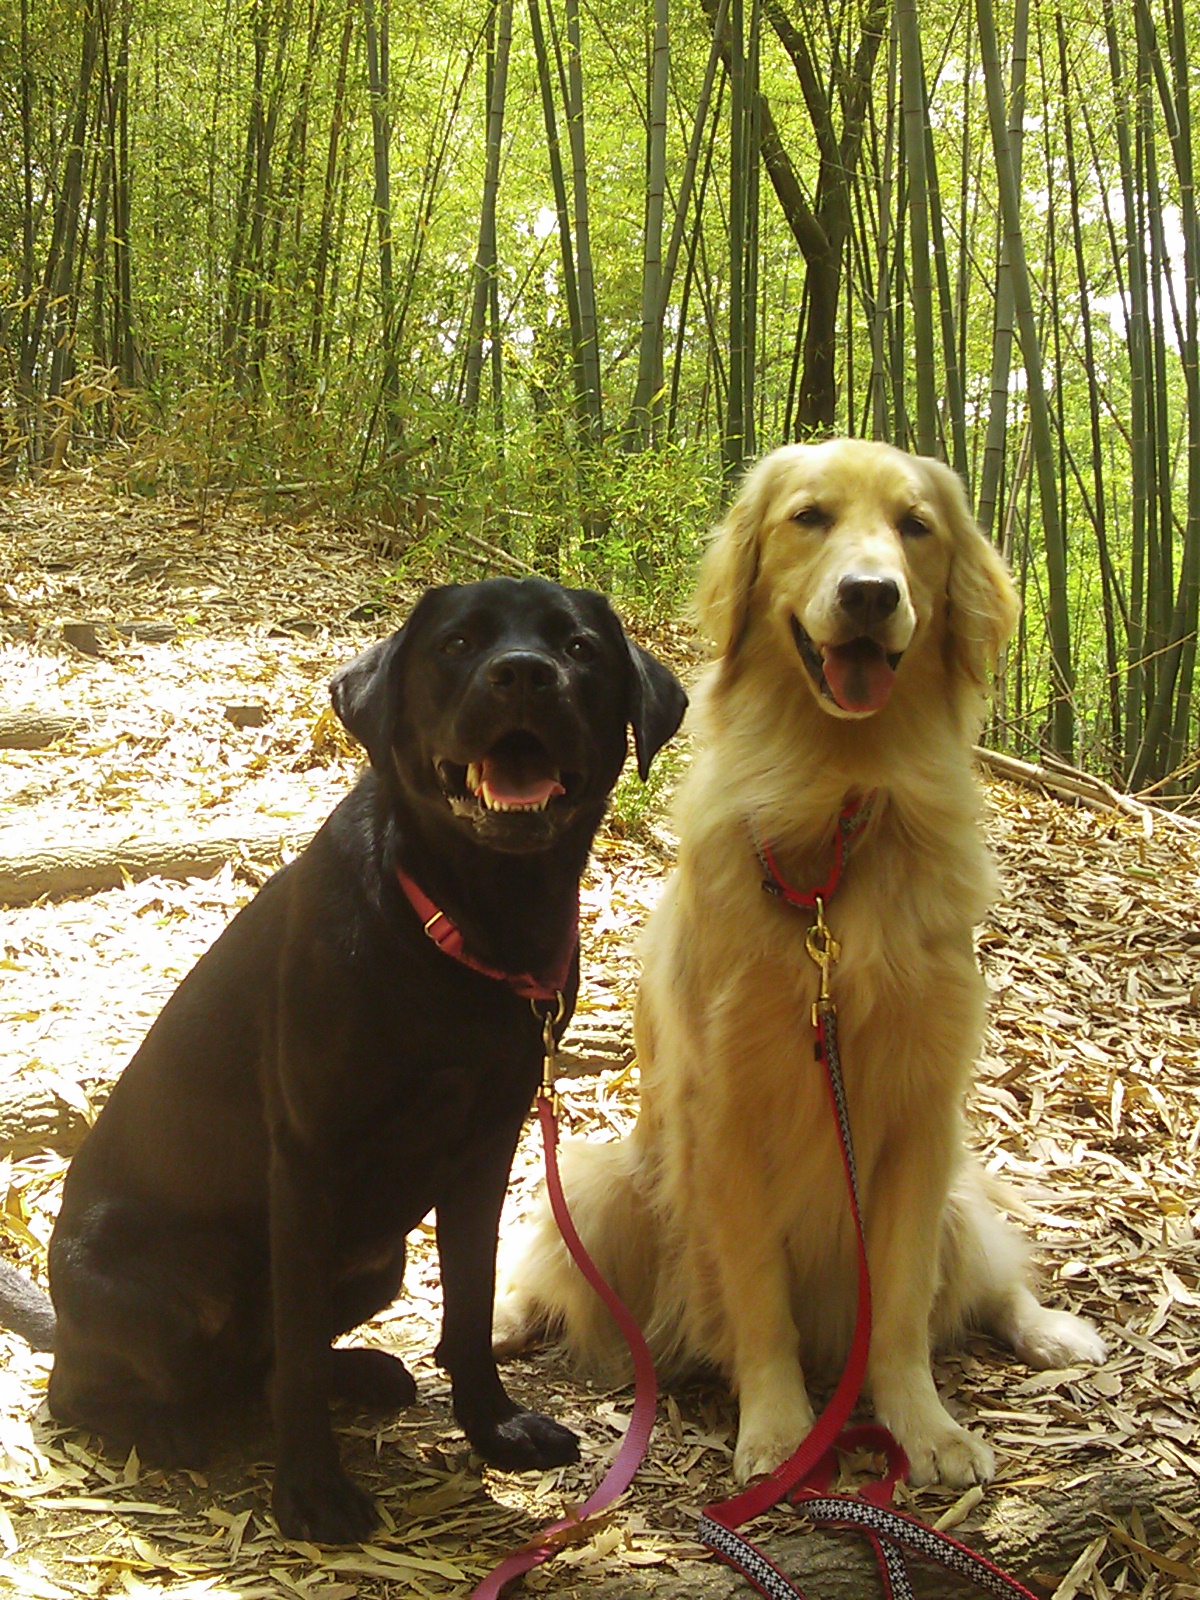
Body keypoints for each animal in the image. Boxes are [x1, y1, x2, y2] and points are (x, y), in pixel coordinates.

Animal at [25, 577, 687, 1544]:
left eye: (579, 649)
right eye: (457, 643)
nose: (524, 674)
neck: (474, 922)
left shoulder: (487, 1146)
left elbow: (467, 1301)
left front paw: (493, 1429)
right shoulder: (310, 1161)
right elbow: (299, 1350)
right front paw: (310, 1491)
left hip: (380, 1262)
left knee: (257, 1365)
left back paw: (364, 1374)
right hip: (177, 1287)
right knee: (93, 1390)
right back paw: (166, 1423)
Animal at [494, 440, 1106, 1488]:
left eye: (916, 527)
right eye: (809, 518)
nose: (869, 594)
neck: (838, 803)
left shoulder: (919, 1117)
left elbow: (900, 1303)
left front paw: (921, 1425)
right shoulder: (727, 1113)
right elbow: (757, 1297)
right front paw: (781, 1433)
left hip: (961, 1186)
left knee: (990, 1281)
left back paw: (1050, 1332)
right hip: (613, 1180)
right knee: (560, 1282)